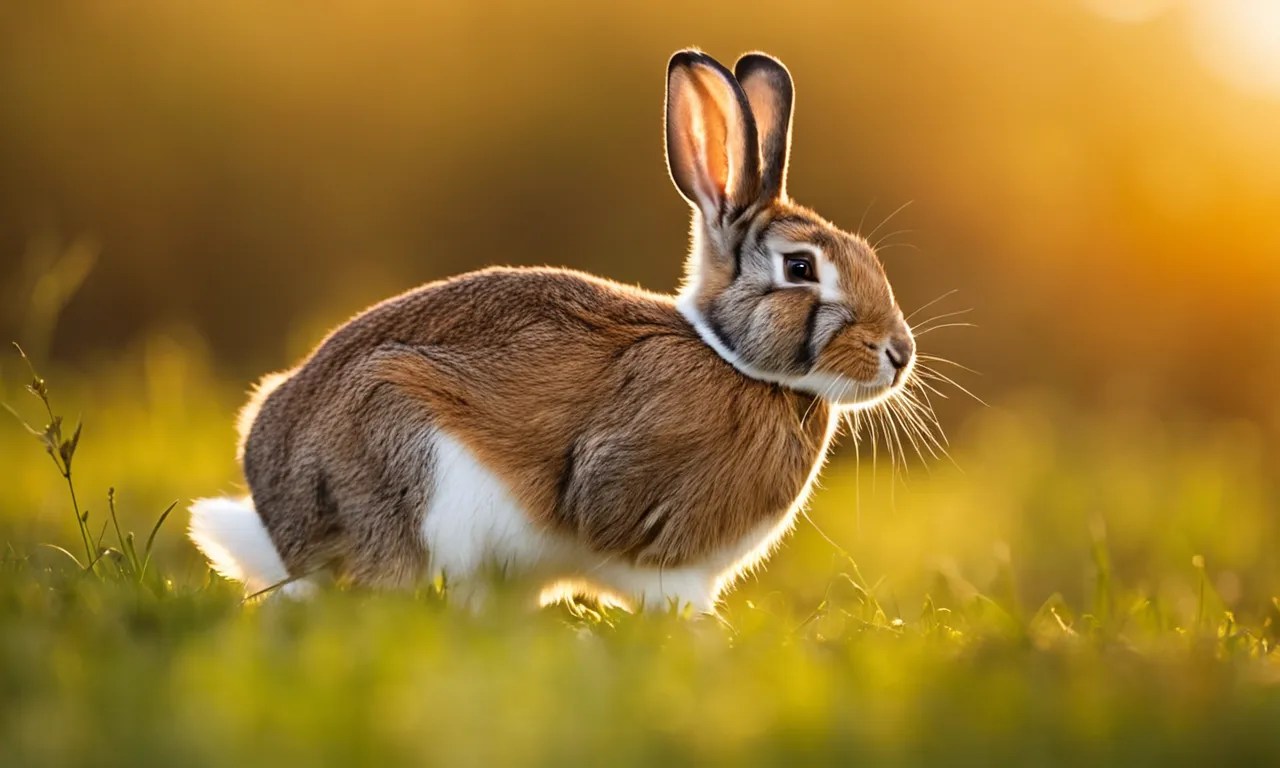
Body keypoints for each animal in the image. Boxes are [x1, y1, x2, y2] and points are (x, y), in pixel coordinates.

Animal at [188, 49, 916, 613]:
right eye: (801, 268)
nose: (899, 354)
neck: (732, 359)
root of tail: (282, 531)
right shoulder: (653, 548)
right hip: (409, 464)